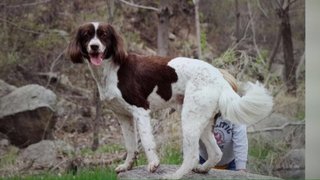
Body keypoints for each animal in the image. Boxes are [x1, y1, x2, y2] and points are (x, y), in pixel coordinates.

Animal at [67, 22, 272, 179]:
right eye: (87, 36)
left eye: (103, 35)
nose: (94, 47)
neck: (112, 69)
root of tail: (220, 78)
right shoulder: (123, 116)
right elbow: (131, 145)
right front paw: (126, 166)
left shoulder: (141, 110)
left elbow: (146, 142)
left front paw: (154, 164)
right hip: (202, 121)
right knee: (216, 152)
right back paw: (202, 170)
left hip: (189, 119)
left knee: (192, 155)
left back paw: (174, 176)